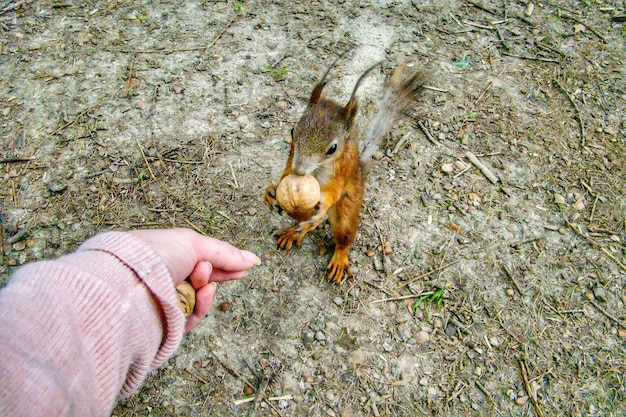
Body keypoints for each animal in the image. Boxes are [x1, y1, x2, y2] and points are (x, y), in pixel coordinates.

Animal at [264, 55, 424, 282]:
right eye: (293, 131)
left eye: (332, 149)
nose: (300, 172)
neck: (318, 168)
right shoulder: (291, 156)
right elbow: (286, 172)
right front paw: (271, 191)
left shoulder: (343, 169)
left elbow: (333, 190)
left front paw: (321, 203)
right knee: (306, 223)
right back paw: (294, 231)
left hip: (348, 208)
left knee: (344, 237)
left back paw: (338, 257)